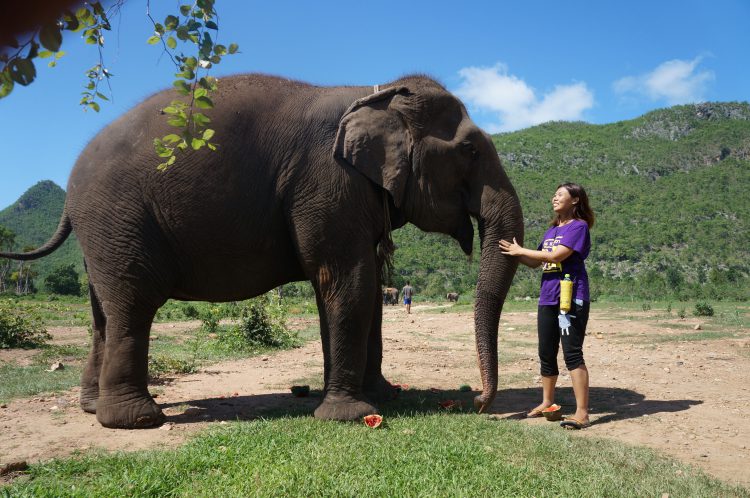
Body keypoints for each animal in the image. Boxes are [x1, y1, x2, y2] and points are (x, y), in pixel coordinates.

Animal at [0, 74, 523, 428]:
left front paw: (384, 397)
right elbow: (346, 282)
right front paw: (351, 415)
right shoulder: (327, 182)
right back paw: (138, 421)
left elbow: (368, 288)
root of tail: (69, 189)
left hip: (102, 235)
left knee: (101, 313)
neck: (376, 90)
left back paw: (91, 408)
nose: (478, 403)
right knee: (133, 302)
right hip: (119, 220)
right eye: (471, 151)